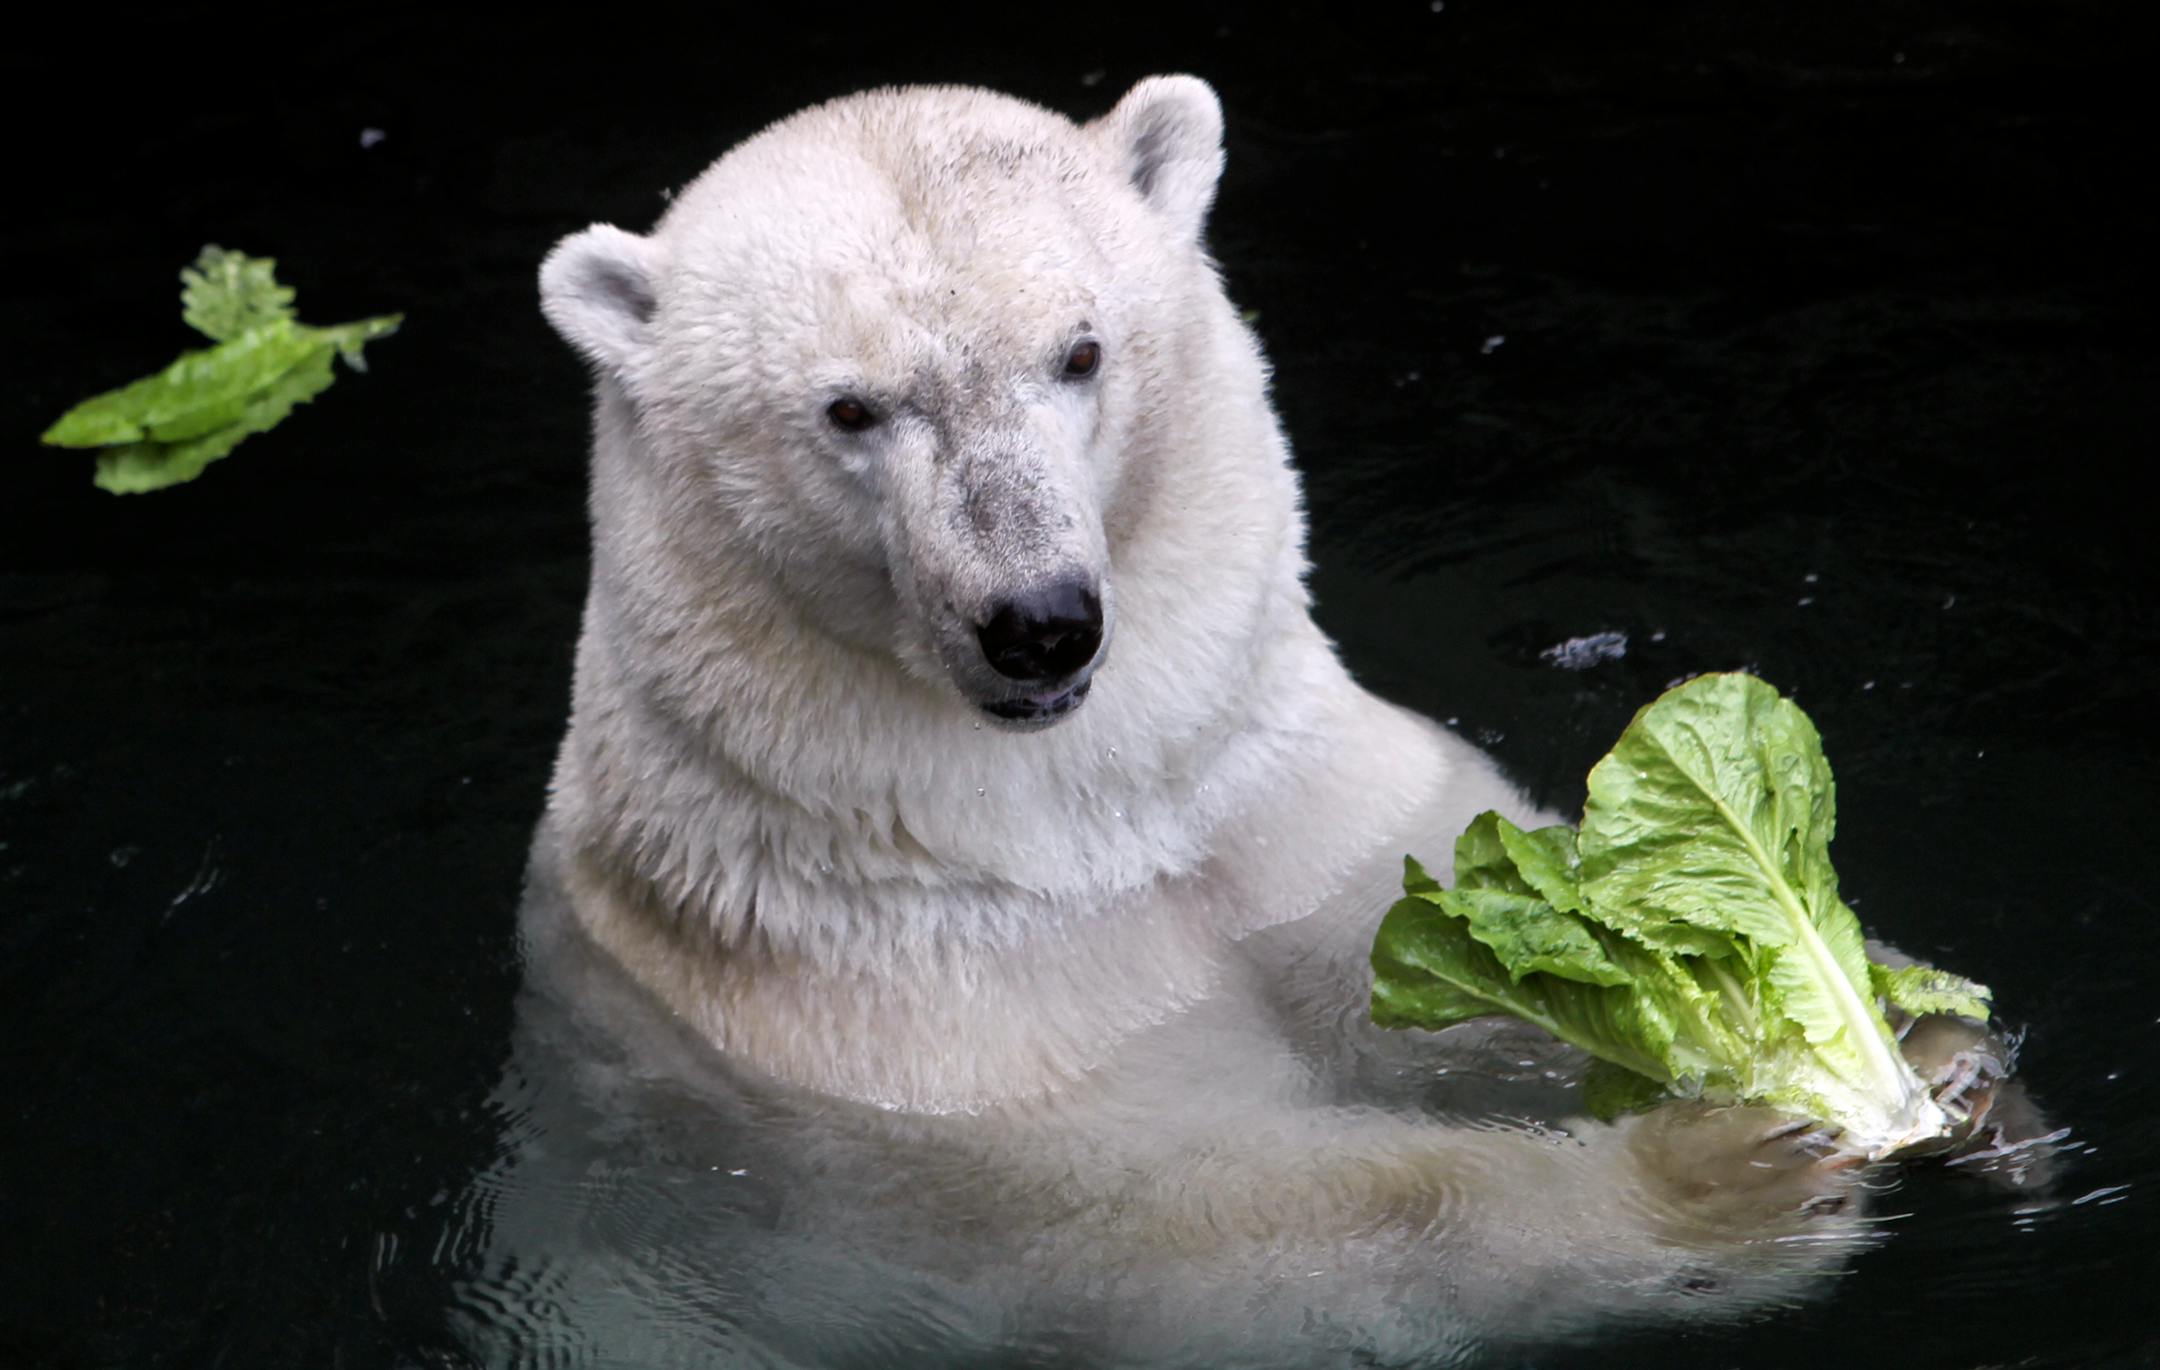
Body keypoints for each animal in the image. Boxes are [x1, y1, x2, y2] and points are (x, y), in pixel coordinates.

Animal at [429, 76, 2024, 1366]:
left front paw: (1929, 1037)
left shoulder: (1274, 800)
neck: (1068, 821)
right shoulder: (893, 1036)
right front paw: (1727, 1163)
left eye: (1079, 351)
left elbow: (1410, 944)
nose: (1039, 617)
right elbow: (1228, 1221)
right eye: (848, 408)